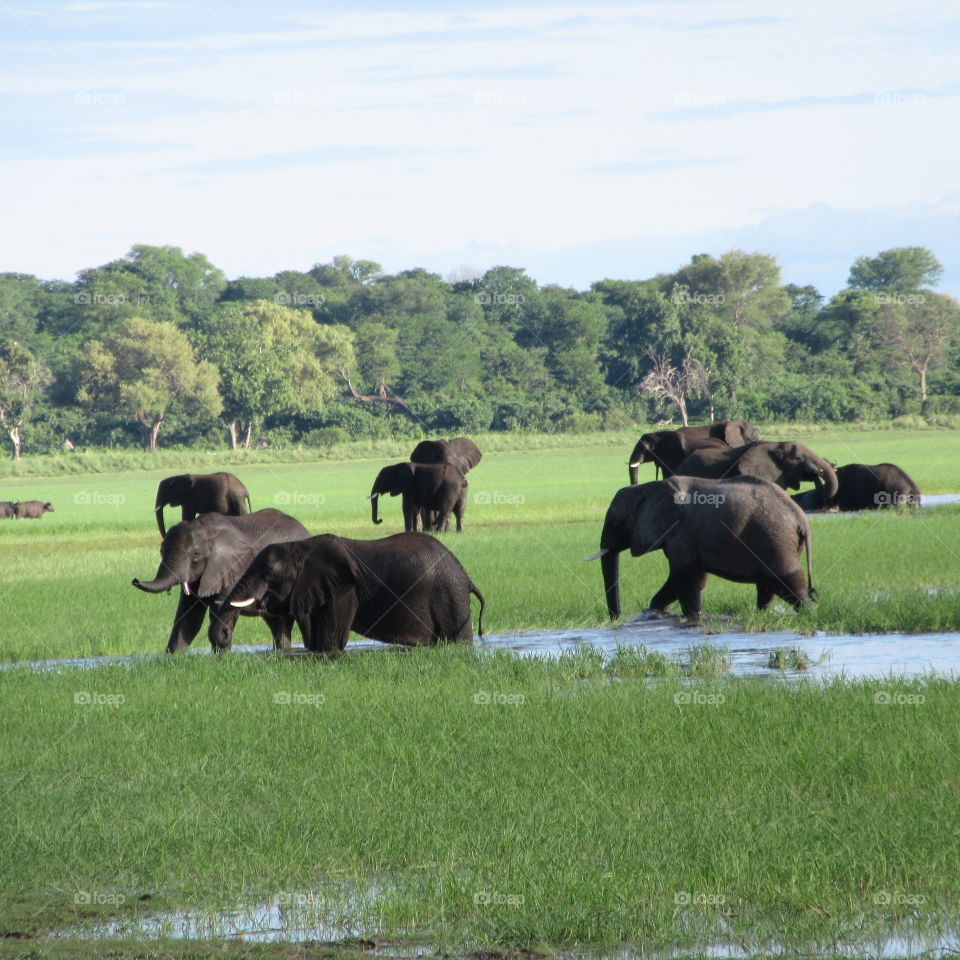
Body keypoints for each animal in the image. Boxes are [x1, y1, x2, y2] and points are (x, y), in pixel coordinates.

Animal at [131, 508, 310, 653]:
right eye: (161, 551)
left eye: (196, 555)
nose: (134, 580)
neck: (203, 528)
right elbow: (189, 615)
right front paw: (174, 656)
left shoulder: (233, 569)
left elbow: (222, 609)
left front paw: (222, 654)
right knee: (278, 621)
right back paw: (282, 652)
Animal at [223, 532, 484, 654]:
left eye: (267, 573)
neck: (302, 546)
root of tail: (467, 577)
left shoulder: (345, 591)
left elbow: (331, 641)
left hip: (451, 597)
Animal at [587, 476, 816, 620]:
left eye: (615, 521)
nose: (616, 619)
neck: (647, 488)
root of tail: (801, 519)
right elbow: (685, 579)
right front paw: (657, 612)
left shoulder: (681, 534)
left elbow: (685, 577)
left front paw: (693, 618)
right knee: (767, 585)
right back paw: (761, 615)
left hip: (776, 541)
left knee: (788, 582)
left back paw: (808, 613)